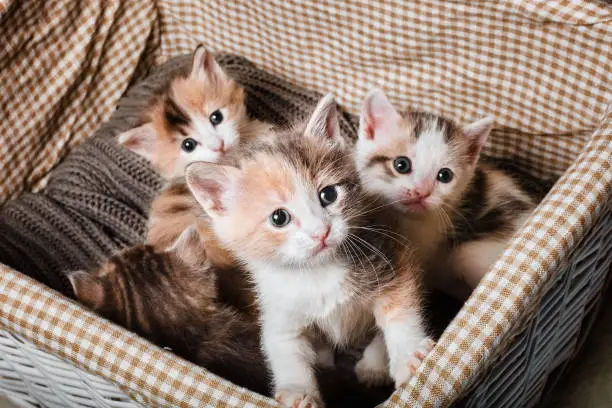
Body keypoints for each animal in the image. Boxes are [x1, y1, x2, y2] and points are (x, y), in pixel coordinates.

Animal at [184, 95, 432, 408]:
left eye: (329, 194)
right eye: (279, 218)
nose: (321, 232)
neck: (317, 272)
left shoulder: (390, 260)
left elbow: (401, 314)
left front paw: (408, 357)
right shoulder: (278, 308)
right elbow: (283, 346)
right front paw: (298, 391)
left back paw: (373, 366)